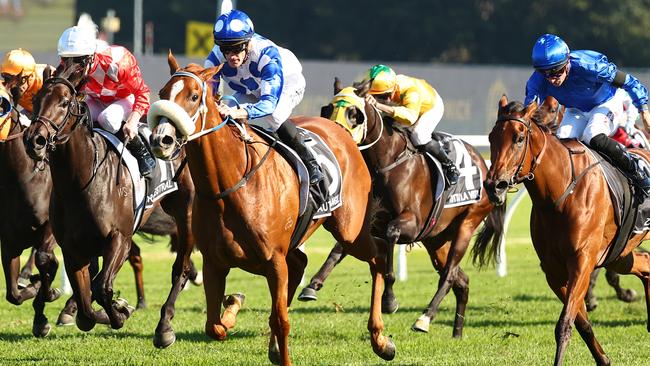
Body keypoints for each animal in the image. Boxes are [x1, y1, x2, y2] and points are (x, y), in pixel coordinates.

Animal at [21, 63, 196, 346]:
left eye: (64, 102)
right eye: (36, 100)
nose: (34, 140)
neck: (80, 182)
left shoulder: (119, 238)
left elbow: (102, 287)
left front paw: (120, 311)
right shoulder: (73, 248)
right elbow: (86, 309)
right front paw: (110, 308)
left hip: (186, 214)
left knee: (181, 267)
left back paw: (165, 326)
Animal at [147, 52, 390, 366]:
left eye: (194, 95)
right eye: (163, 93)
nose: (160, 140)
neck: (230, 185)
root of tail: (341, 132)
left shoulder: (274, 260)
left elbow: (281, 320)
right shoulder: (214, 263)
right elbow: (214, 326)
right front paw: (232, 306)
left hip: (350, 230)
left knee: (377, 256)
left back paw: (381, 340)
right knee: (300, 262)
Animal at [302, 78, 504, 338]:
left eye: (354, 113)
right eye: (326, 109)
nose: (334, 137)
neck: (387, 163)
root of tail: (485, 166)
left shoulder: (410, 223)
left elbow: (390, 238)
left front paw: (389, 300)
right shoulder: (370, 222)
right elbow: (339, 249)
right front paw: (312, 285)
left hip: (466, 225)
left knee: (449, 275)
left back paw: (424, 318)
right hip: (436, 239)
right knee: (462, 281)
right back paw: (457, 333)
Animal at [478, 96, 648, 364]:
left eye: (519, 138)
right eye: (491, 137)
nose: (495, 185)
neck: (560, 192)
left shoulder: (582, 261)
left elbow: (565, 324)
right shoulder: (554, 270)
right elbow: (581, 323)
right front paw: (603, 358)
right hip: (620, 252)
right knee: (645, 265)